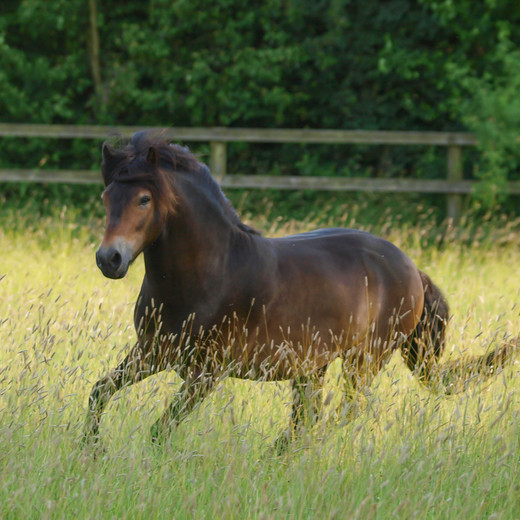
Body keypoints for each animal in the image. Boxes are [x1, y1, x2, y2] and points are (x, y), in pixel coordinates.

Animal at [83, 129, 510, 446]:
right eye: (106, 196)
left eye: (143, 199)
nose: (109, 259)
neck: (207, 275)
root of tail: (411, 268)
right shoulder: (152, 353)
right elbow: (99, 393)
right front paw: (91, 452)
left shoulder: (207, 373)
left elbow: (161, 429)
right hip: (313, 368)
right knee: (309, 418)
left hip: (365, 359)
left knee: (342, 413)